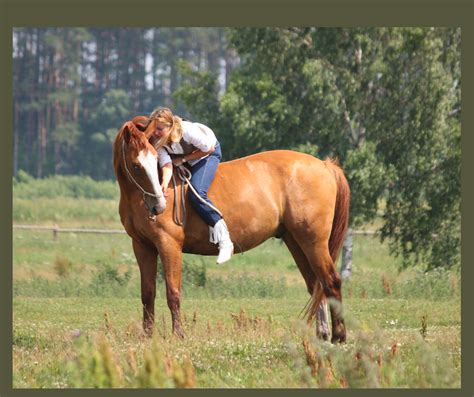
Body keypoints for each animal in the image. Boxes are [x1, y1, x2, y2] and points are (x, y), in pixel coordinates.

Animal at [113, 116, 350, 342]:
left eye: (154, 161)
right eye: (136, 165)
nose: (158, 205)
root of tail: (325, 165)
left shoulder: (168, 245)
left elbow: (173, 292)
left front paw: (178, 335)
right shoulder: (143, 247)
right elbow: (147, 294)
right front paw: (147, 336)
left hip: (314, 242)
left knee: (331, 282)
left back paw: (339, 336)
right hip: (296, 241)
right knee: (316, 285)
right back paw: (323, 334)